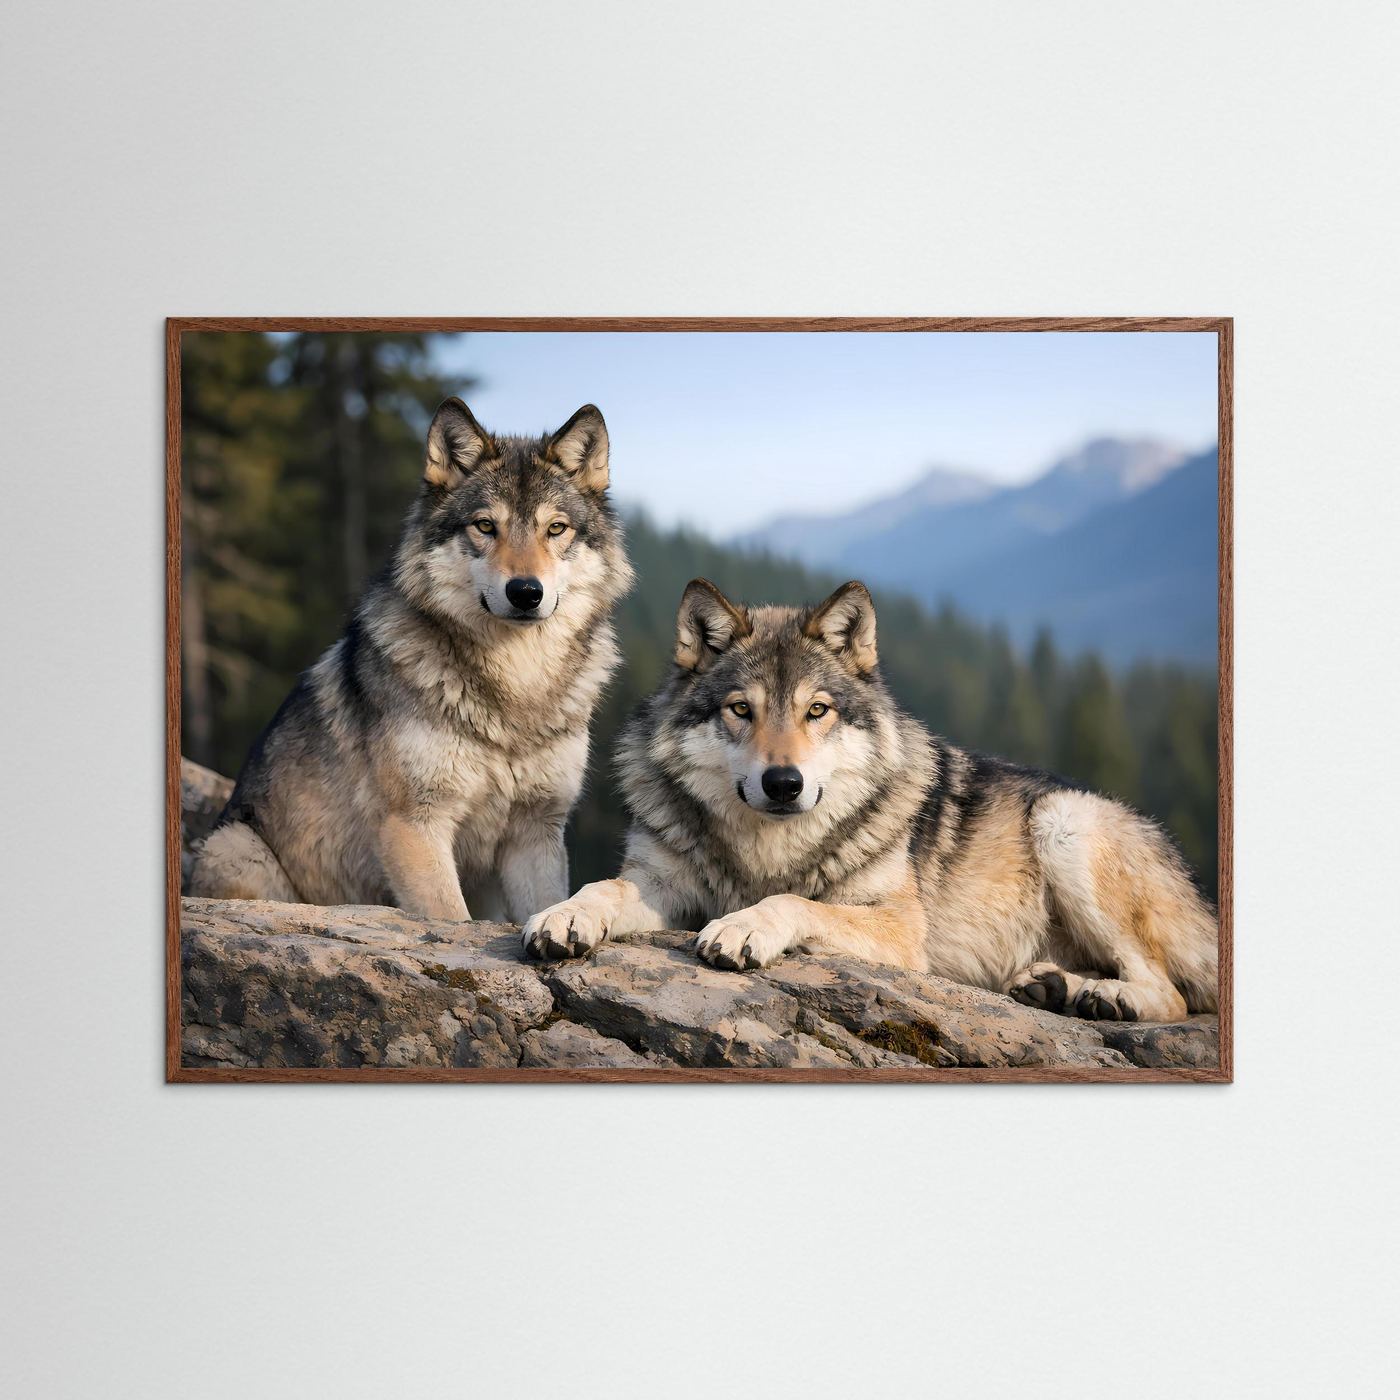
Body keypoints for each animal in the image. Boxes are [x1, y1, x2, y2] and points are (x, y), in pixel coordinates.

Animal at [190, 399, 633, 923]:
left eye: (556, 529)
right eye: (486, 526)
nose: (526, 592)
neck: (516, 685)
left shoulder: (536, 833)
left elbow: (542, 906)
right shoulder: (416, 824)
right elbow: (450, 916)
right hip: (235, 847)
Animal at [522, 578, 1218, 1023]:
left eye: (817, 711)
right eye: (741, 710)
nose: (784, 783)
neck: (764, 850)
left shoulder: (901, 931)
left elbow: (795, 901)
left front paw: (745, 926)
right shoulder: (663, 886)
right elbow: (604, 887)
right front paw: (563, 915)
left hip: (1064, 821)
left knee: (1174, 993)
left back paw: (1104, 999)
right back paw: (1053, 987)